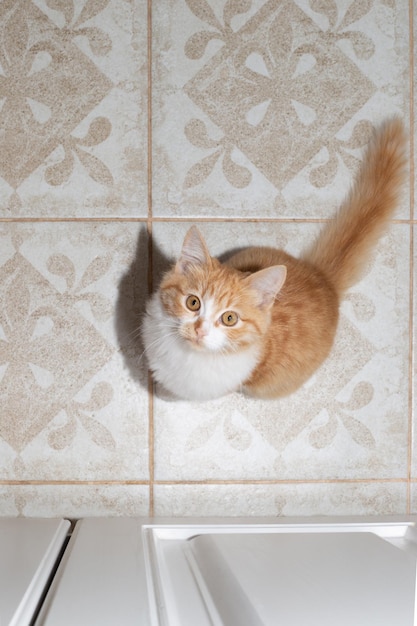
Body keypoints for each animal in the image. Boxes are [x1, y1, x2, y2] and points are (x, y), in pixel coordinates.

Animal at [142, 118, 406, 400]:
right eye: (193, 302)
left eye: (229, 318)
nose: (200, 330)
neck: (187, 356)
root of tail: (322, 277)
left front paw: (164, 394)